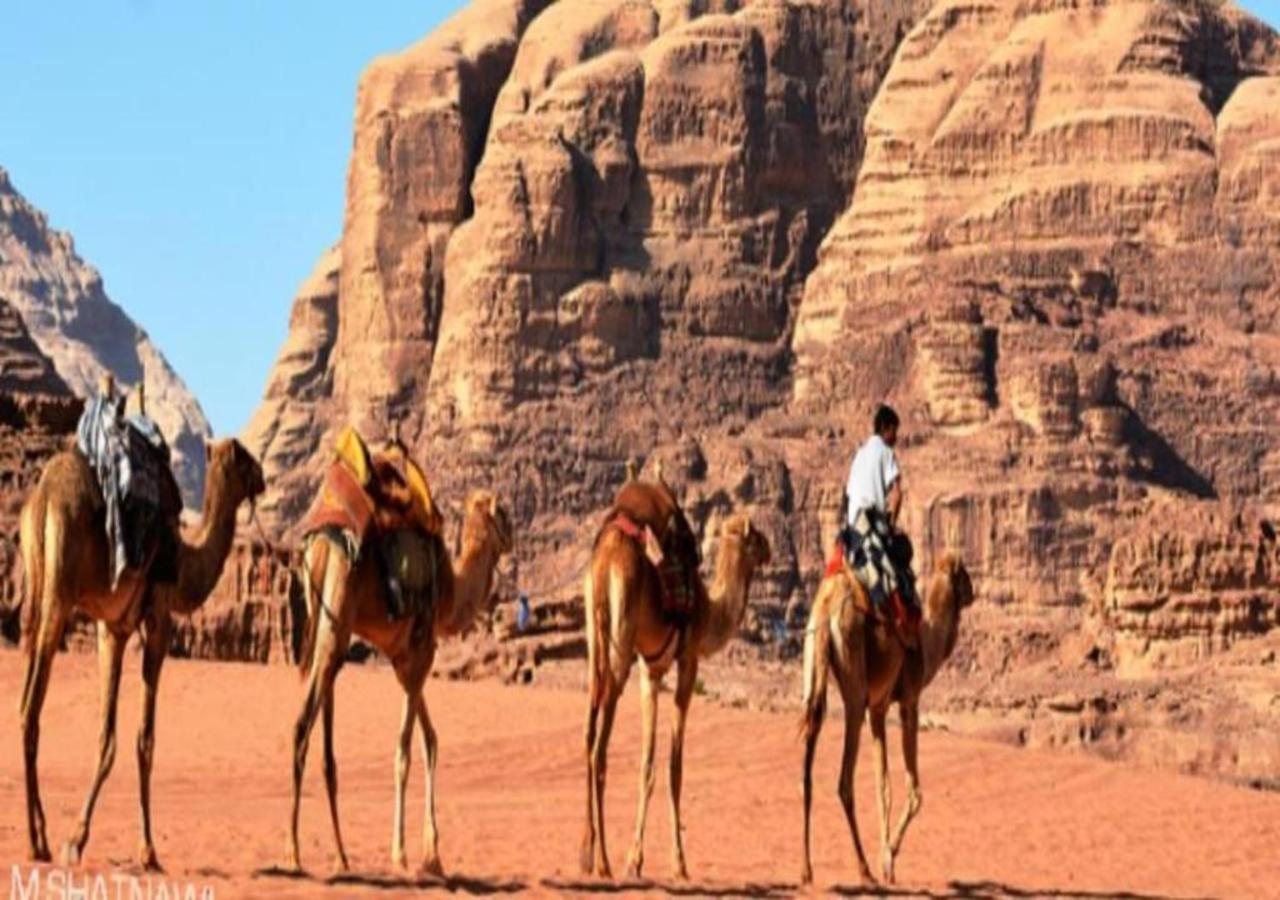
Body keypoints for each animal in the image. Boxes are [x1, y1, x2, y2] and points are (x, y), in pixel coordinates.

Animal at [16, 440, 264, 870]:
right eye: (246, 459)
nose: (263, 476)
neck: (184, 563)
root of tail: (43, 496)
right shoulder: (158, 621)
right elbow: (144, 740)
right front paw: (144, 850)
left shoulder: (111, 629)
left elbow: (106, 735)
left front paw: (77, 838)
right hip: (59, 588)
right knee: (31, 709)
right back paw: (36, 840)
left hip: (35, 583)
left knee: (23, 702)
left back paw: (42, 837)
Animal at [288, 489, 512, 875]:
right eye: (506, 517)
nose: (512, 547)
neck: (449, 592)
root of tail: (320, 545)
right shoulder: (421, 653)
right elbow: (404, 752)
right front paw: (401, 852)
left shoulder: (404, 661)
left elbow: (430, 739)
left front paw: (433, 854)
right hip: (337, 617)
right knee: (303, 724)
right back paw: (293, 852)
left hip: (325, 624)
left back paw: (339, 855)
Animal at [581, 491, 768, 880]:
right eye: (756, 536)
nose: (770, 549)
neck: (708, 610)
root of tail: (606, 559)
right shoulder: (688, 662)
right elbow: (674, 768)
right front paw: (678, 863)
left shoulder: (650, 671)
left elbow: (647, 764)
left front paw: (636, 859)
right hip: (620, 636)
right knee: (600, 746)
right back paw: (603, 861)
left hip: (593, 627)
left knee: (588, 731)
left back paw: (587, 852)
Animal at [793, 553, 972, 885]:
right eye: (965, 574)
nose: (972, 592)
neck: (926, 642)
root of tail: (827, 608)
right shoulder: (907, 702)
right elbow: (912, 790)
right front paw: (888, 860)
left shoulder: (877, 709)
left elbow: (882, 786)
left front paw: (886, 857)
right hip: (853, 678)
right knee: (844, 781)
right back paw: (863, 869)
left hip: (812, 665)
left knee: (807, 770)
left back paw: (806, 869)